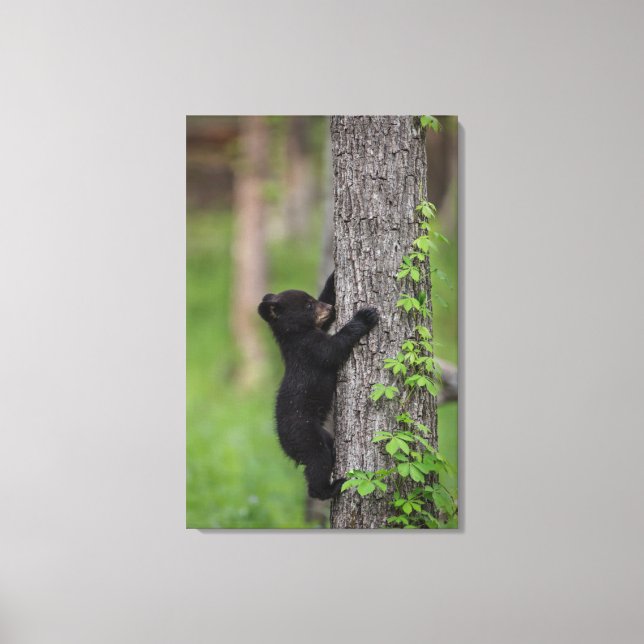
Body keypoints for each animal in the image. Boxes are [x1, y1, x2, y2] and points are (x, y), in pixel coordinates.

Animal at [258, 272, 379, 500]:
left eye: (313, 299)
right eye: (308, 305)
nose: (330, 308)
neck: (295, 334)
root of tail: (283, 446)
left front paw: (333, 279)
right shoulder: (309, 348)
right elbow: (333, 348)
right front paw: (364, 316)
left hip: (320, 434)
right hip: (305, 435)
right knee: (317, 462)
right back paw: (332, 487)